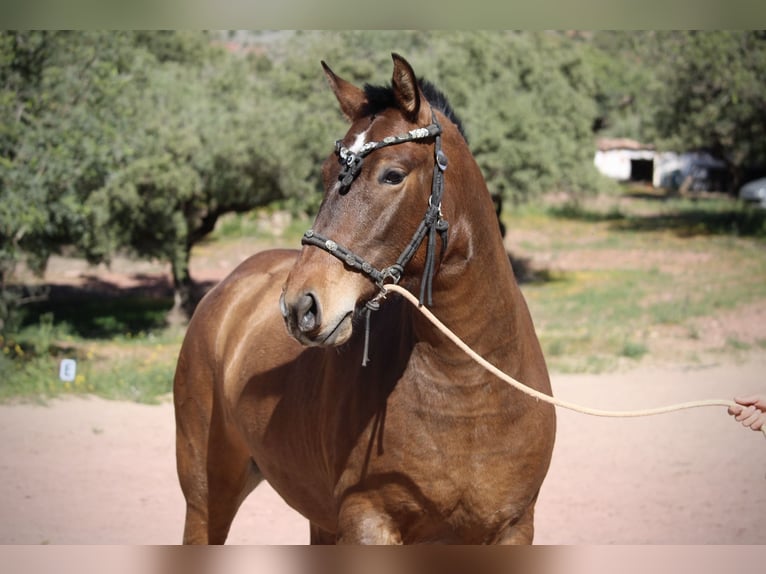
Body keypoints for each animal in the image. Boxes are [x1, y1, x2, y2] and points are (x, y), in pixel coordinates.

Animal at [174, 53, 556, 544]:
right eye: (323, 174)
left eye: (392, 175)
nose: (300, 306)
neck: (470, 394)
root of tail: (230, 288)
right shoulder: (368, 522)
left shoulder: (514, 527)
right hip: (207, 498)